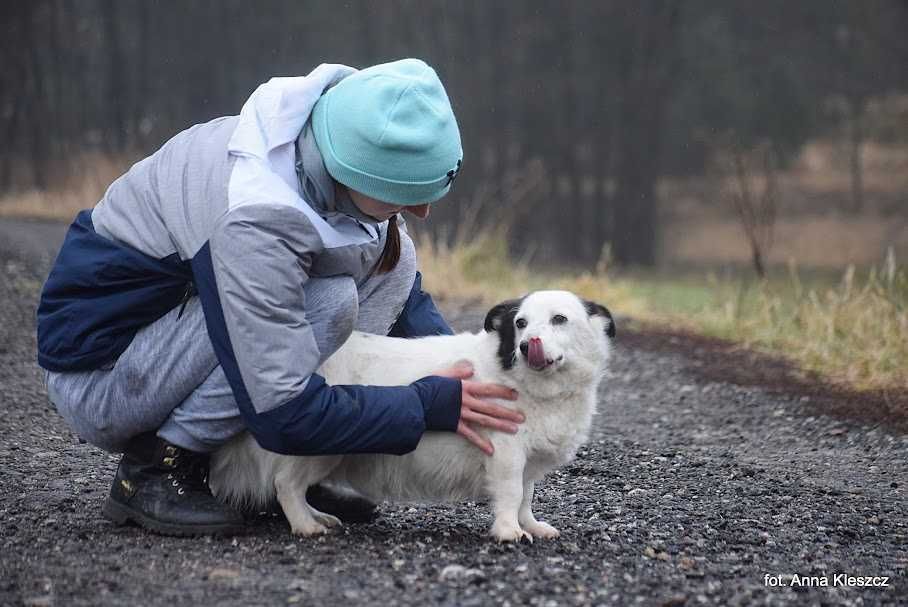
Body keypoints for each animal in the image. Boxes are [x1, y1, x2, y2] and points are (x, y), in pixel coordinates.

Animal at [209, 290, 612, 540]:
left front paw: (532, 526)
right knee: (285, 484)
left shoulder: (527, 462)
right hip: (324, 447)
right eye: (520, 324)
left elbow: (527, 497)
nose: (529, 346)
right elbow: (511, 495)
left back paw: (318, 516)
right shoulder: (506, 455)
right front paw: (508, 531)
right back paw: (306, 525)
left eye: (559, 319)